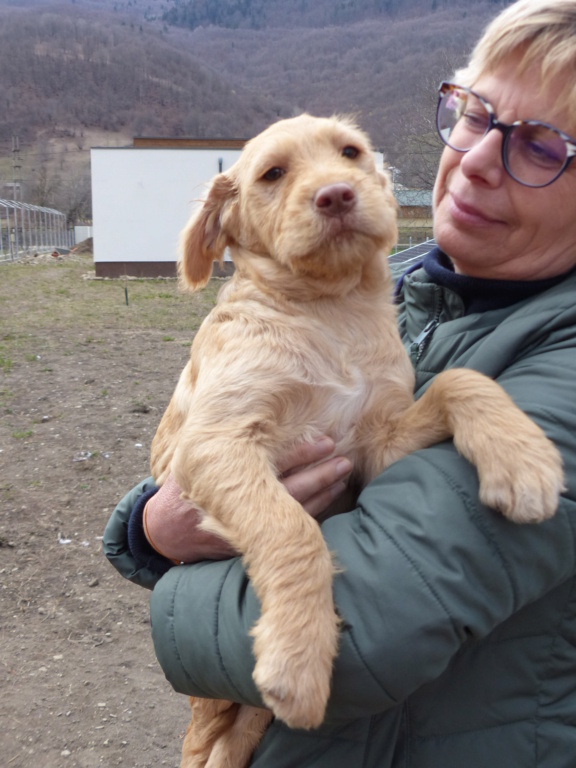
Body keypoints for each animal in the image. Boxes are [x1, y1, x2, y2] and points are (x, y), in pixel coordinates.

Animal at [151, 115, 564, 768]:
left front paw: (522, 457)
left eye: (349, 153)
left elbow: (457, 379)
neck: (330, 312)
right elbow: (291, 529)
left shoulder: (376, 445)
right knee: (206, 745)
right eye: (272, 173)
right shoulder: (216, 443)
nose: (337, 195)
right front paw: (298, 652)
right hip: (206, 709)